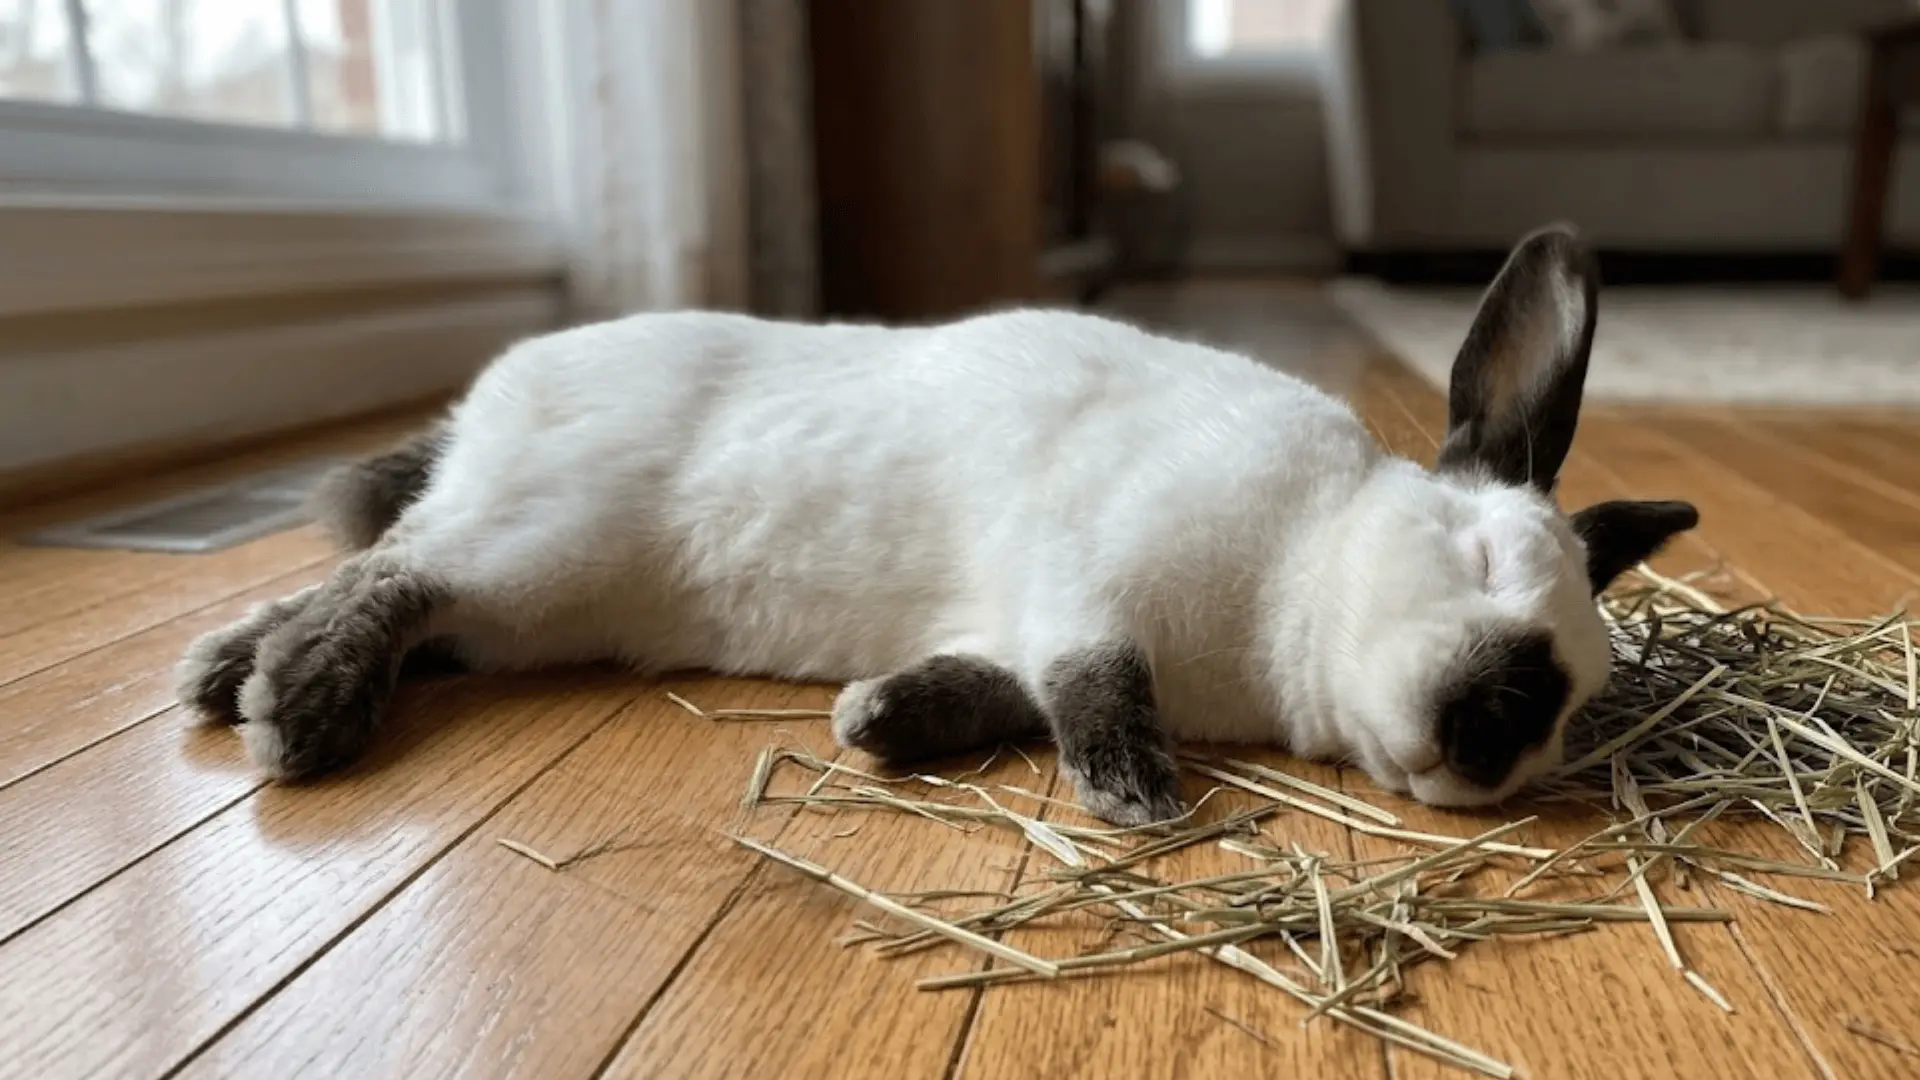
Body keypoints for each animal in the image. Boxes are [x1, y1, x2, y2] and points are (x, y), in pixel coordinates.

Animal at [176, 223, 1698, 826]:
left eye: (1578, 712)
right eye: (1483, 559)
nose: (1495, 745)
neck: (1300, 578)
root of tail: (487, 403)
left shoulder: (1019, 623)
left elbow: (998, 686)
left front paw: (880, 720)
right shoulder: (1088, 568)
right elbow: (1096, 676)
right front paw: (1136, 794)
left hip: (520, 600)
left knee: (387, 579)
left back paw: (218, 676)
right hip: (536, 543)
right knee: (387, 580)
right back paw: (293, 711)